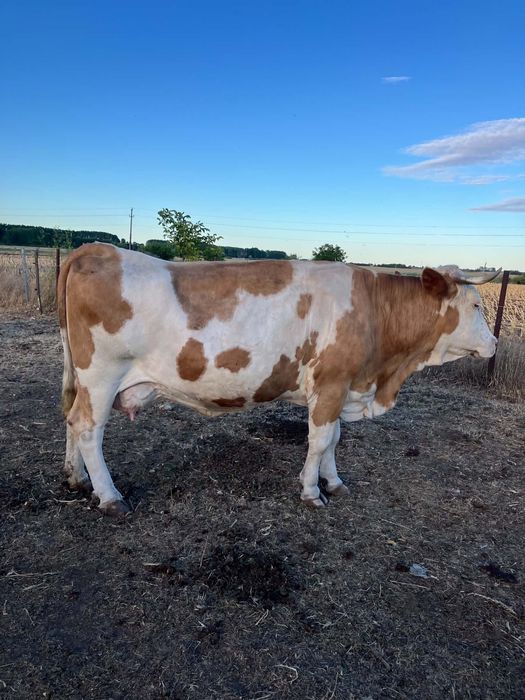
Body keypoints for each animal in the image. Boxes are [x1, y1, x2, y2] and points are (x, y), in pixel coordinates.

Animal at [57, 243, 499, 515]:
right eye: (477, 305)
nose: (495, 342)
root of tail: (96, 248)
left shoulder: (338, 387)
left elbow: (334, 439)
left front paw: (333, 482)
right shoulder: (332, 383)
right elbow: (320, 440)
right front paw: (311, 491)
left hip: (83, 377)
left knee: (71, 419)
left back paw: (77, 479)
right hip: (102, 374)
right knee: (88, 427)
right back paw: (110, 497)